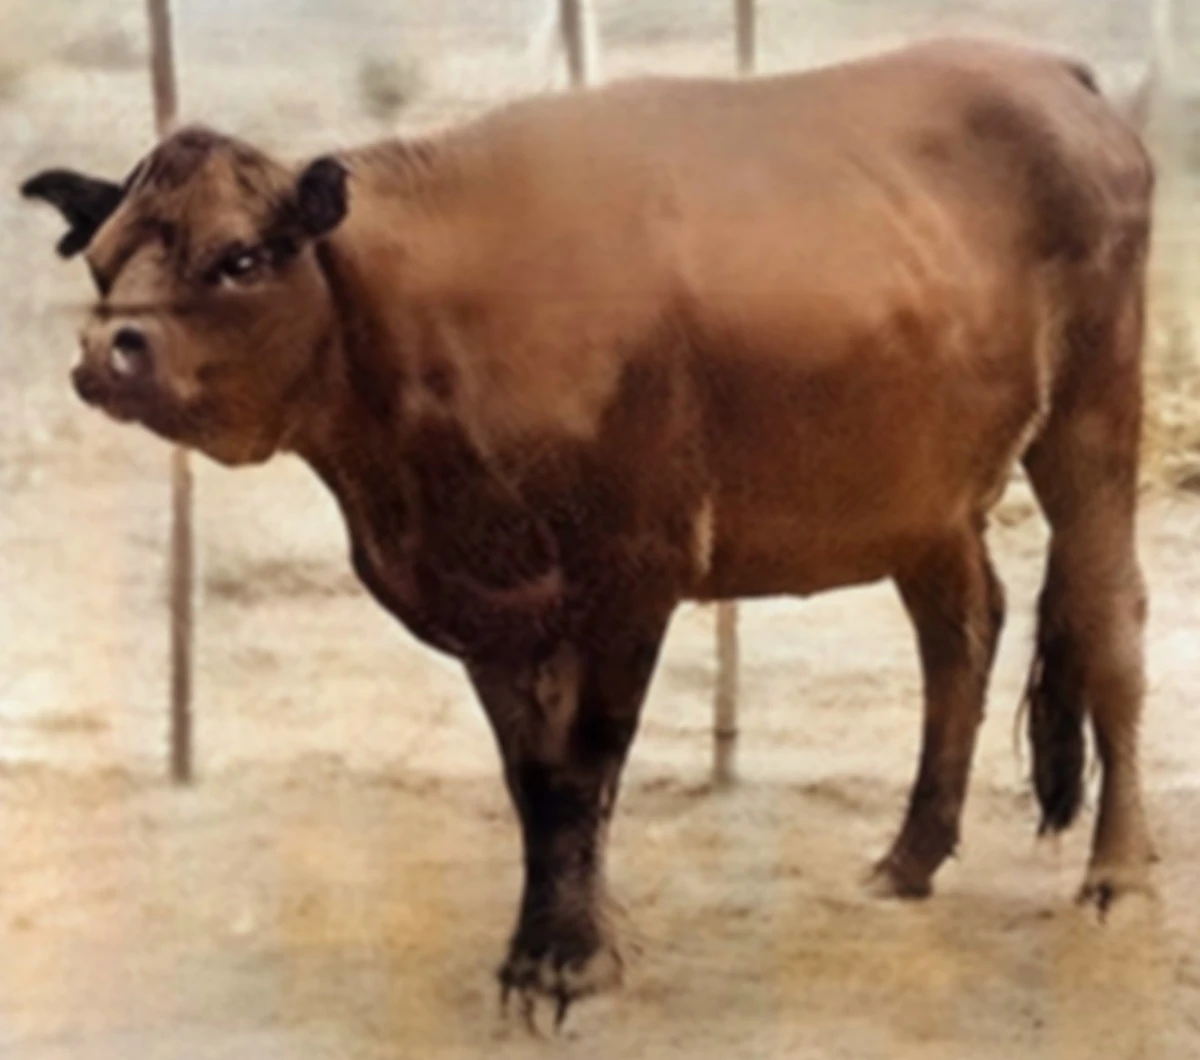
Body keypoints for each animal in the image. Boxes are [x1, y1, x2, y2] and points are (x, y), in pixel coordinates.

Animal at [21, 36, 1155, 1024]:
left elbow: (582, 767)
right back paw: (909, 857)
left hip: (1093, 415)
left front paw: (568, 960)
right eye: (105, 261)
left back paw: (1119, 879)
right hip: (921, 481)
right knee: (960, 630)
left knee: (1108, 622)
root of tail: (1051, 69)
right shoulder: (483, 599)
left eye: (241, 258)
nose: (107, 349)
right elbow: (533, 776)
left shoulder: (631, 574)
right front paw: (551, 940)